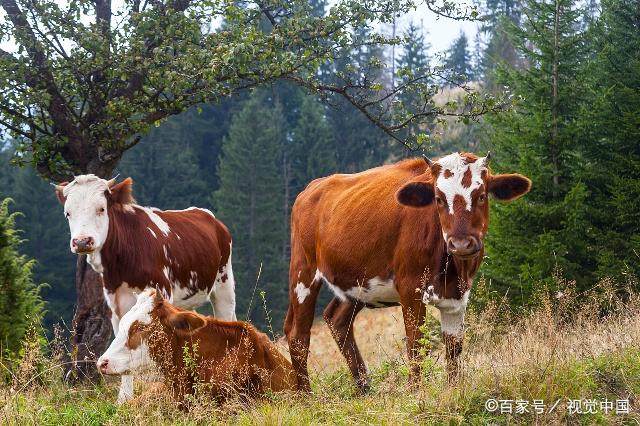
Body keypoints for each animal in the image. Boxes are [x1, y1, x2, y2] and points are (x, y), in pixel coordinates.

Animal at [54, 175, 238, 402]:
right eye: (68, 213)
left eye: (101, 209)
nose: (81, 241)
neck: (123, 262)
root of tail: (208, 216)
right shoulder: (116, 305)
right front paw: (124, 399)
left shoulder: (160, 294)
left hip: (224, 285)